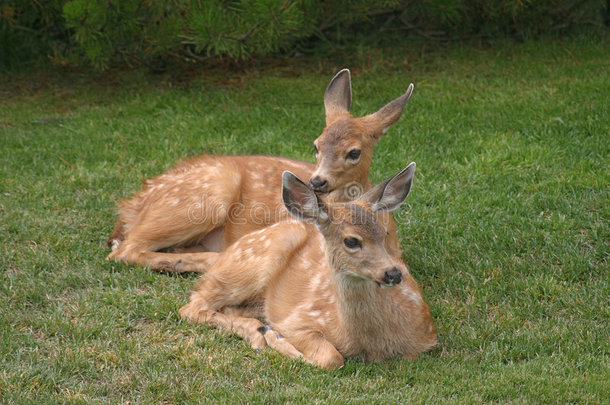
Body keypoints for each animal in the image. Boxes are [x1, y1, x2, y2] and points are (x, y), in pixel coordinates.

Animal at [108, 68, 414, 272]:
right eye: (316, 145)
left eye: (354, 152)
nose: (316, 181)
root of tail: (133, 204)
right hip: (206, 194)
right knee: (126, 250)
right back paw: (207, 259)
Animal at [178, 163, 434, 368]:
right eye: (351, 241)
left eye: (384, 233)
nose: (393, 274)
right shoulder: (298, 320)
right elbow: (332, 358)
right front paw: (276, 337)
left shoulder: (426, 336)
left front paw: (271, 335)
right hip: (249, 264)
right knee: (192, 307)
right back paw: (259, 334)